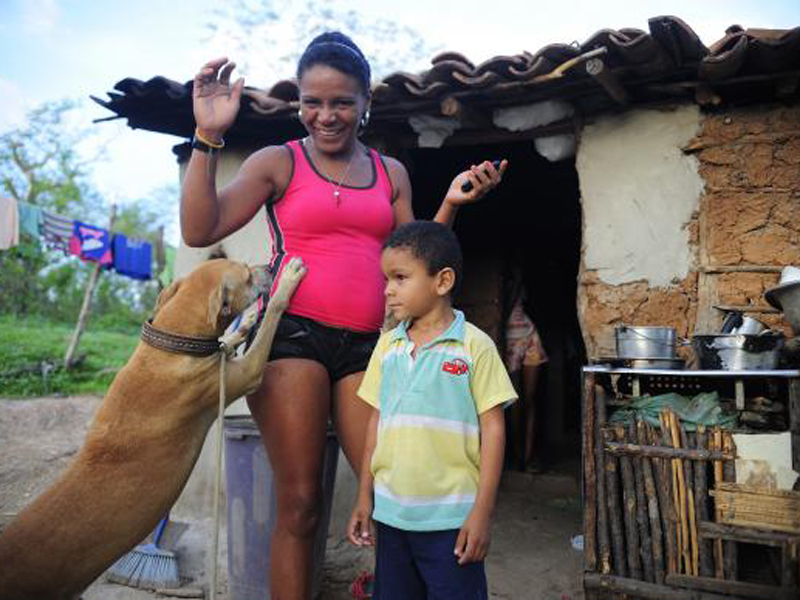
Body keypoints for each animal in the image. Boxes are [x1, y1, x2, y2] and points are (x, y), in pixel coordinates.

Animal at [0, 256, 306, 600]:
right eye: (245, 274)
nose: (270, 266)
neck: (172, 343)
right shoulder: (249, 373)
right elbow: (270, 322)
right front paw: (285, 284)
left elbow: (231, 339)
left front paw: (245, 323)